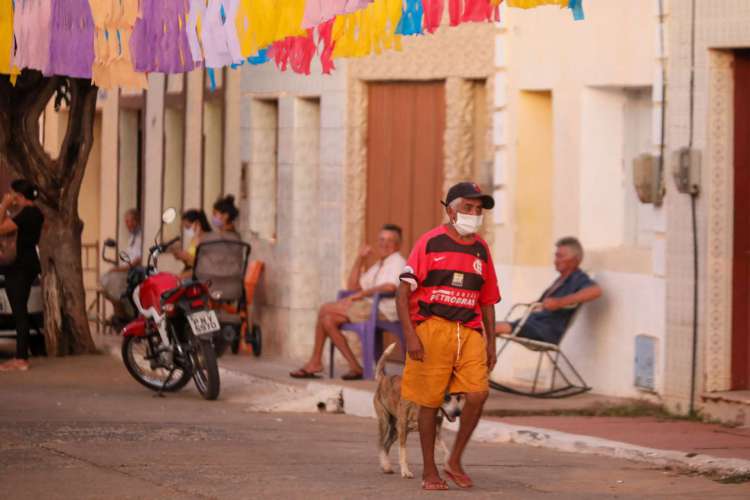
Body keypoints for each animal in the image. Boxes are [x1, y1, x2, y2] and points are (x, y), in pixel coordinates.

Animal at [374, 344, 462, 476]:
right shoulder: (403, 428)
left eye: (459, 397)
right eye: (446, 397)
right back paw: (385, 465)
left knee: (386, 446)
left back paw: (386, 466)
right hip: (386, 422)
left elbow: (446, 452)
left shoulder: (435, 434)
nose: (458, 412)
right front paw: (405, 471)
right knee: (381, 444)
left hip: (395, 430)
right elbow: (403, 452)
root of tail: (383, 379)